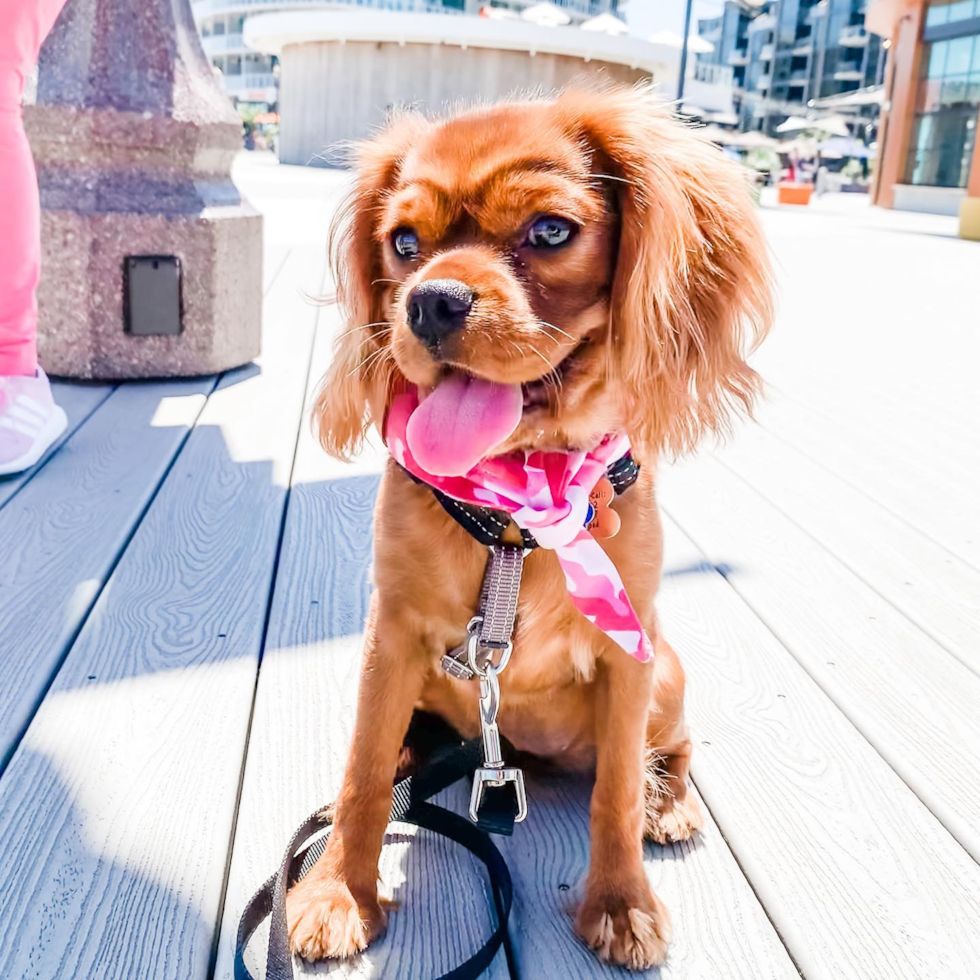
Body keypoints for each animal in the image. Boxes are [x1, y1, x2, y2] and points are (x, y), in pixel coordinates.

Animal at [288, 86, 768, 972]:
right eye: (402, 243)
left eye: (549, 231)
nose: (429, 301)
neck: (517, 513)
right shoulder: (389, 635)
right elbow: (363, 772)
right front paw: (340, 889)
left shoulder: (630, 652)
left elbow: (615, 792)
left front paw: (620, 902)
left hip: (669, 673)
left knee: (673, 749)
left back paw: (672, 802)